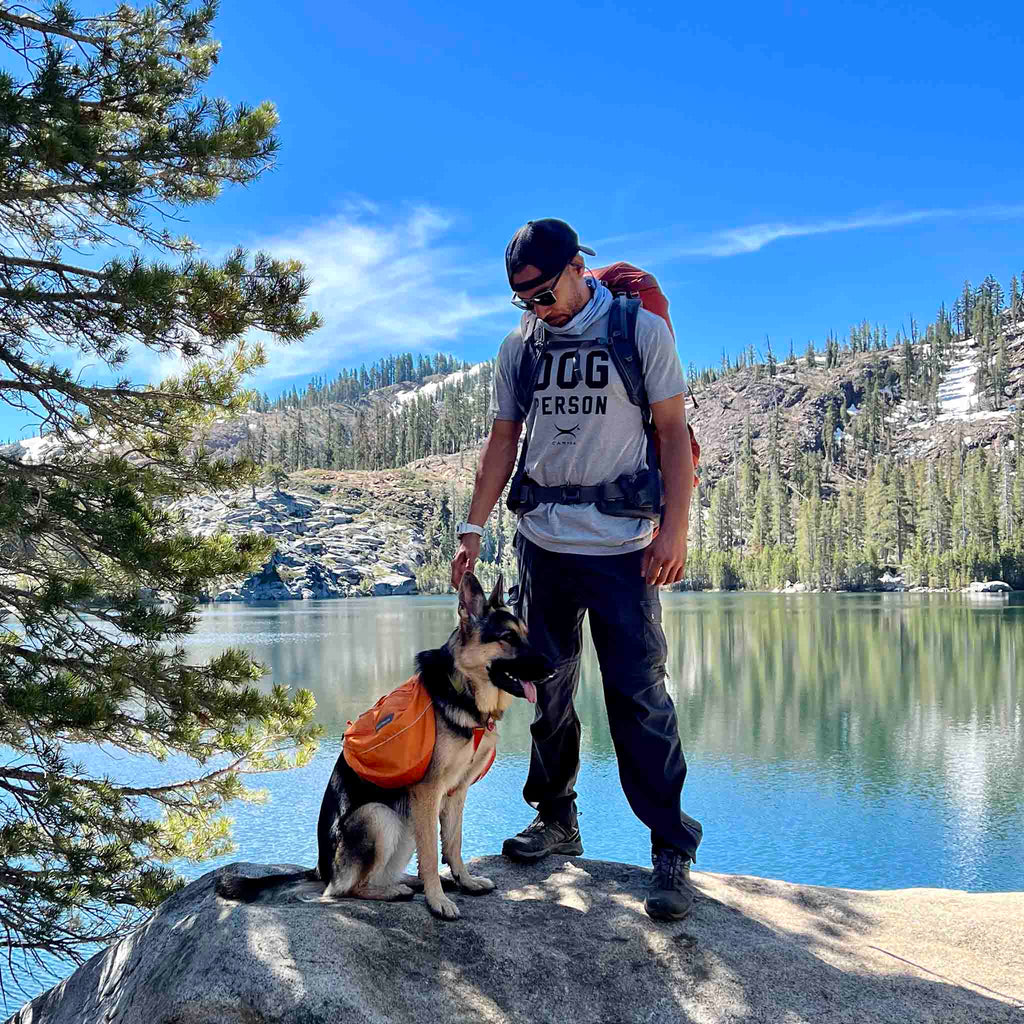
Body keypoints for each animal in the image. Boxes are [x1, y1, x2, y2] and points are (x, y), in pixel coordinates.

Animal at [216, 577, 552, 921]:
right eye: (508, 637)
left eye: (525, 634)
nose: (552, 668)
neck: (463, 690)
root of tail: (321, 869)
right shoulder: (428, 792)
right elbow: (431, 855)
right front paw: (438, 900)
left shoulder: (456, 792)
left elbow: (453, 844)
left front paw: (465, 881)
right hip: (379, 817)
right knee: (342, 890)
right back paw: (394, 891)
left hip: (404, 825)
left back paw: (407, 881)